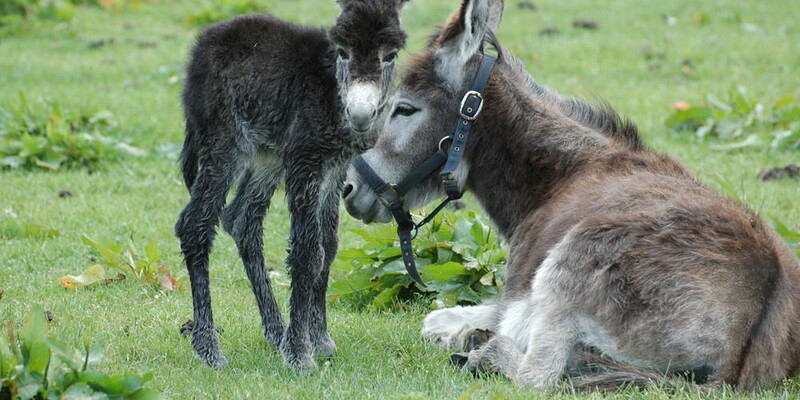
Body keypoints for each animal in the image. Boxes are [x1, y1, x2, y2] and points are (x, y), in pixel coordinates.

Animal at [177, 0, 410, 370]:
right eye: (342, 51)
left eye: (390, 55)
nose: (360, 116)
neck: (330, 88)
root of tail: (203, 47)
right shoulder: (305, 161)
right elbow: (307, 252)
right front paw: (300, 354)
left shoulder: (334, 167)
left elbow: (328, 246)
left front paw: (319, 338)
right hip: (225, 144)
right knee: (195, 224)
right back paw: (209, 348)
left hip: (267, 155)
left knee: (242, 219)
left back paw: (275, 330)